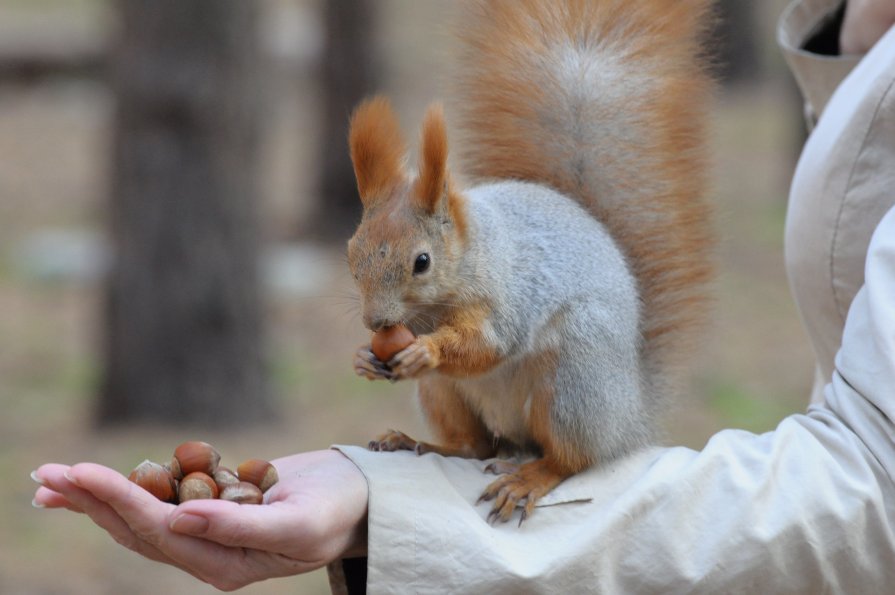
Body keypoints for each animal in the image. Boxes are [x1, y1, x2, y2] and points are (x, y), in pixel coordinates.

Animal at [344, 0, 712, 524]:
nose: (376, 322)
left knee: (569, 458)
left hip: (573, 379)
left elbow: (488, 343)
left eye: (422, 261)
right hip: (444, 394)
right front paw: (364, 358)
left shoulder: (509, 297)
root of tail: (630, 417)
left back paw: (527, 479)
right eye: (351, 254)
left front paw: (427, 350)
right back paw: (417, 443)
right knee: (476, 446)